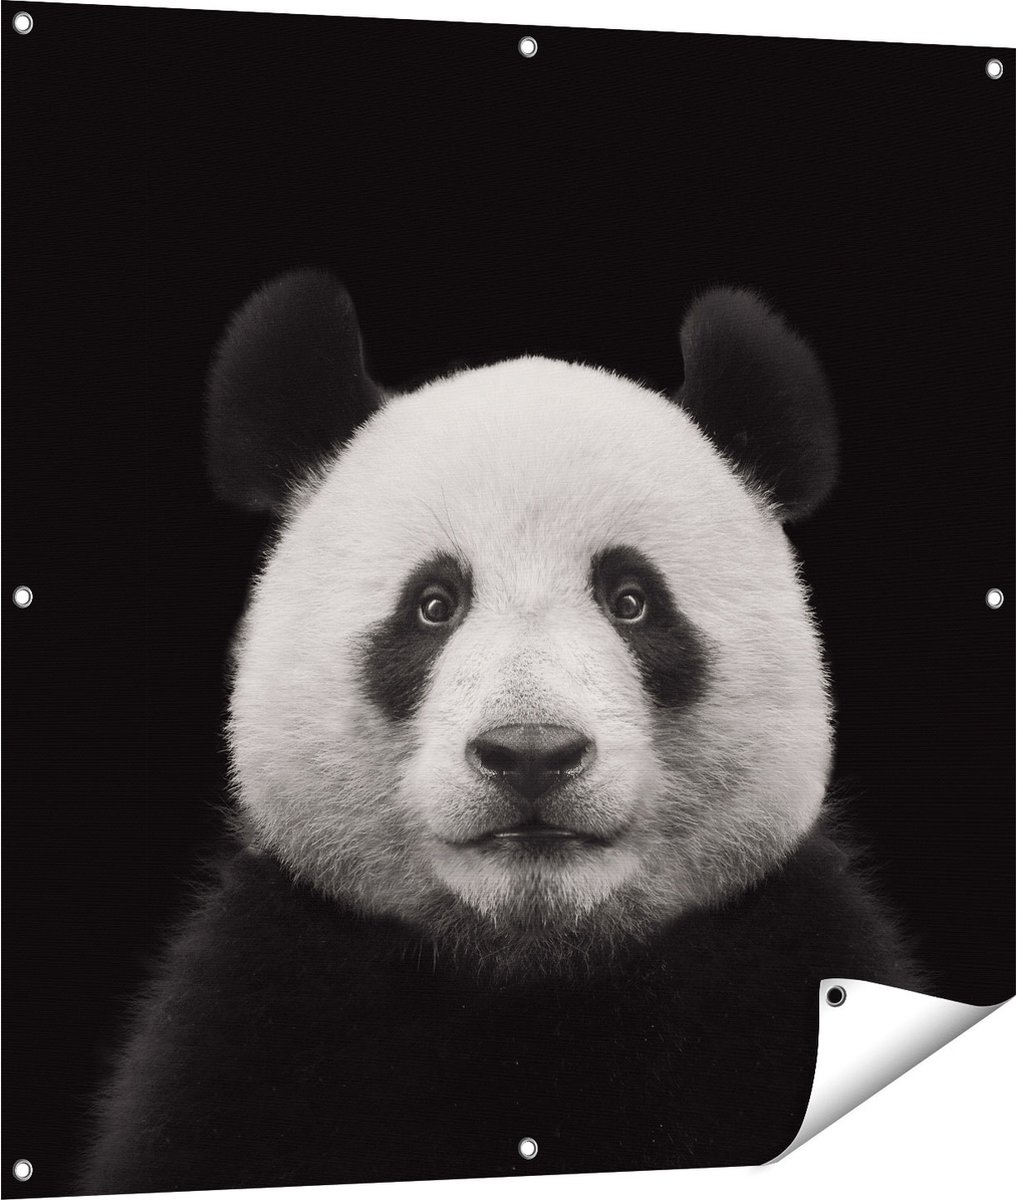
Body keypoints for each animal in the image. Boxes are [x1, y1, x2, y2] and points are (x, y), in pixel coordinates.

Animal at [82, 271, 919, 1194]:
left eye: (632, 600)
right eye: (433, 604)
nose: (530, 754)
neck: (529, 970)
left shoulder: (781, 966)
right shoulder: (256, 1012)